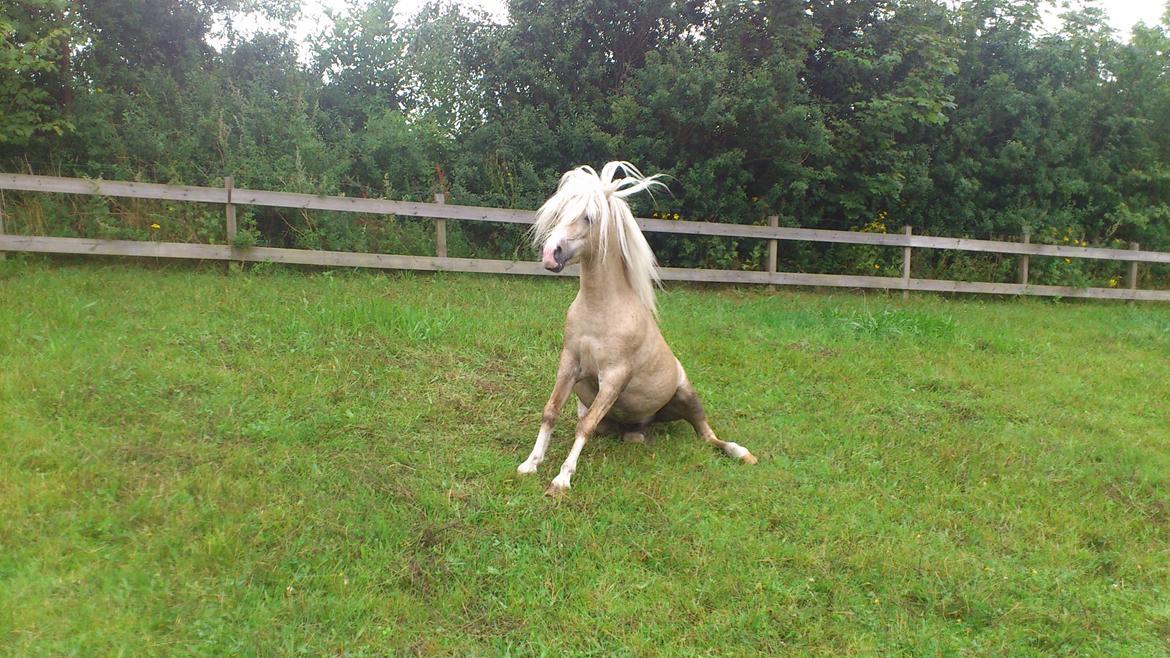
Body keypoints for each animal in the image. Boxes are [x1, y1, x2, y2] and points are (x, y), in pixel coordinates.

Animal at [514, 161, 753, 494]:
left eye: (588, 217)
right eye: (559, 213)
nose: (551, 254)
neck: (602, 310)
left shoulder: (615, 376)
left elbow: (583, 426)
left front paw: (562, 479)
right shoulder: (569, 363)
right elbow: (550, 412)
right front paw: (530, 464)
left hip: (687, 395)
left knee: (707, 435)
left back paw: (741, 453)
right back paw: (637, 436)